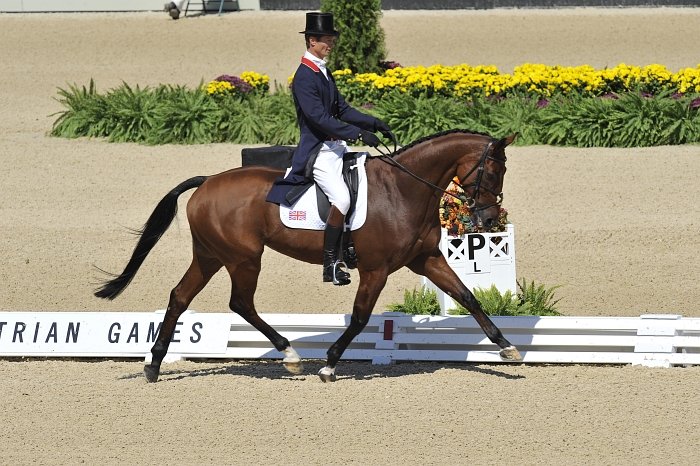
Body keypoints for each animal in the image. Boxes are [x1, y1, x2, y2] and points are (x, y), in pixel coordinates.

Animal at [94, 130, 520, 382]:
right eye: (492, 172)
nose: (487, 220)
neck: (403, 189)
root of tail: (208, 182)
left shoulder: (427, 259)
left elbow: (468, 296)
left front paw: (507, 348)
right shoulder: (376, 269)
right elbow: (360, 316)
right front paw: (329, 364)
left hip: (211, 255)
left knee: (181, 297)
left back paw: (153, 365)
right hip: (243, 257)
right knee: (240, 302)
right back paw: (290, 355)